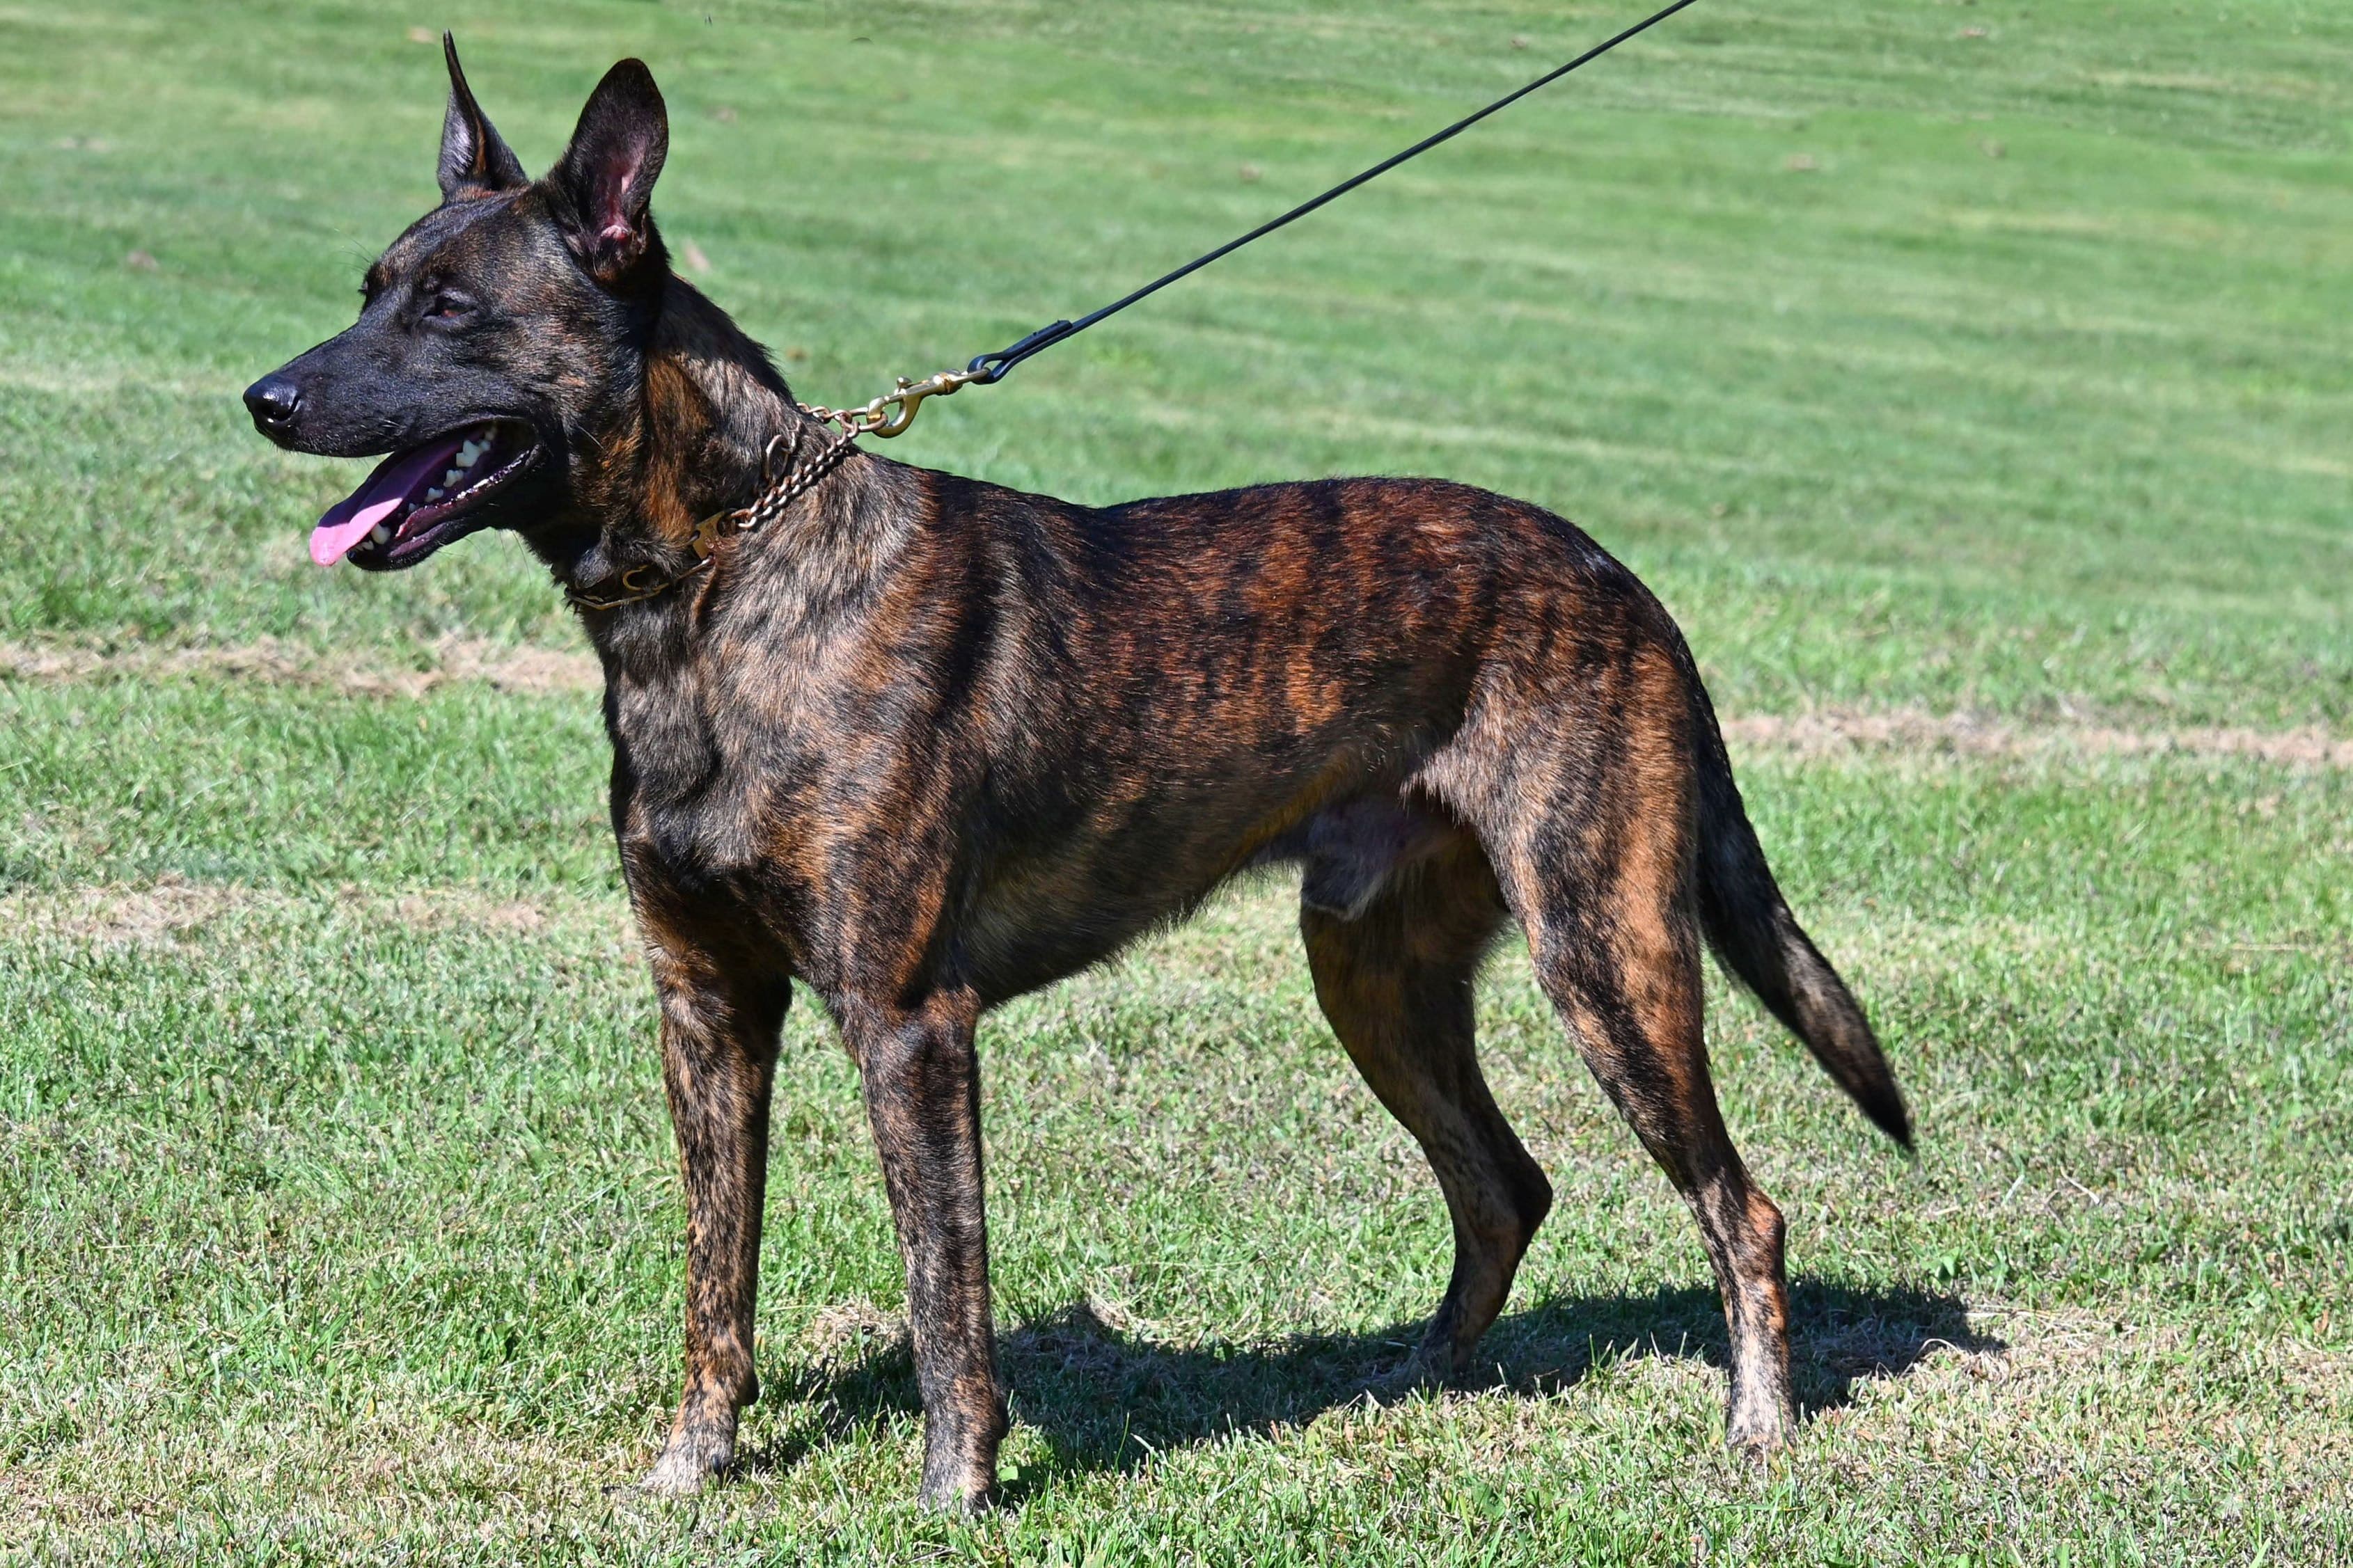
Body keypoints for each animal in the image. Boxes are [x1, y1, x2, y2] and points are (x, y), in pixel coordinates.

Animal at [248, 36, 1910, 1504]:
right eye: (370, 292)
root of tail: (1622, 579)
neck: (725, 582)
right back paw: (1408, 1384)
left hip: (1606, 953)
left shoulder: (908, 1024)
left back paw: (1756, 1428)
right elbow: (718, 1280)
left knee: (1742, 1205)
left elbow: (943, 1293)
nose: (265, 398)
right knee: (1507, 1183)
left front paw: (956, 1489)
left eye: (452, 309)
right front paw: (694, 1467)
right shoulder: (707, 1010)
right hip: (1371, 969)